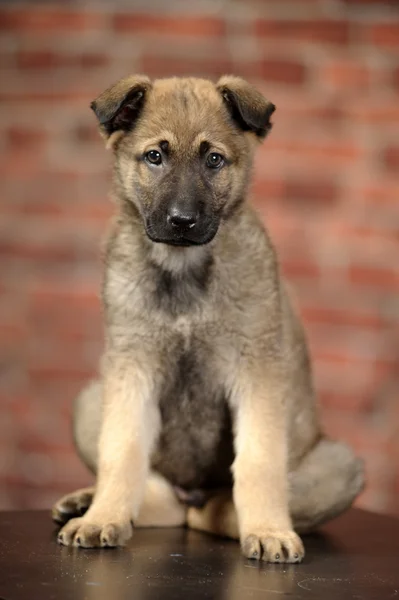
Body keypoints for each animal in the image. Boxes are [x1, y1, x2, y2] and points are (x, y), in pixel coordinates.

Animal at [53, 75, 366, 564]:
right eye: (155, 156)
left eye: (213, 159)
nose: (182, 220)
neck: (184, 270)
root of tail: (191, 499)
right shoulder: (131, 368)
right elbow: (121, 453)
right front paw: (103, 517)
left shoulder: (256, 372)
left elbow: (258, 462)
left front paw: (268, 528)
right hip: (90, 400)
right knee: (159, 496)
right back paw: (88, 502)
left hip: (339, 465)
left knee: (217, 509)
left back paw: (236, 519)